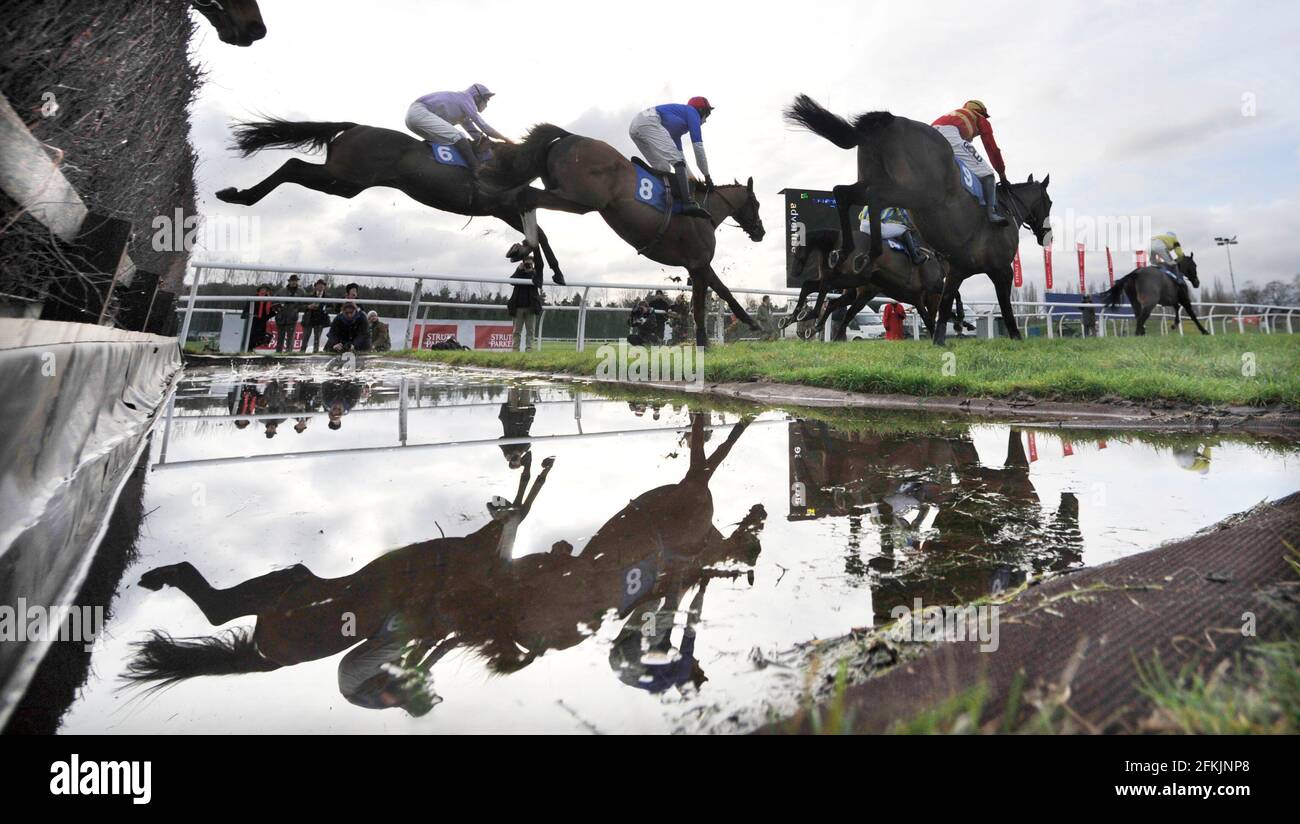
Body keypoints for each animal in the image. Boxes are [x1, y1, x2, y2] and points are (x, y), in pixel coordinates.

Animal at [215, 115, 566, 282]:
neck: (511, 163)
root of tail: (355, 127)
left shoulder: (504, 209)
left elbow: (539, 234)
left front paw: (544, 272)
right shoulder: (501, 205)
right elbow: (539, 234)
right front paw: (540, 269)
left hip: (344, 183)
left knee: (295, 167)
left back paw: (236, 194)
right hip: (344, 178)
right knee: (292, 165)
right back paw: (240, 196)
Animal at [483, 123, 764, 345]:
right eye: (757, 204)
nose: (760, 231)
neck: (705, 211)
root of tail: (568, 136)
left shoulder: (696, 266)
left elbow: (717, 295)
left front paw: (747, 326)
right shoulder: (699, 263)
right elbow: (709, 300)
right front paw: (709, 340)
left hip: (572, 197)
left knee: (521, 197)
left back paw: (534, 257)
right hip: (581, 198)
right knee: (526, 196)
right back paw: (533, 253)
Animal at [780, 96, 1055, 343]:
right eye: (1049, 203)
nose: (1047, 235)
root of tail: (890, 120)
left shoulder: (955, 271)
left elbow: (945, 308)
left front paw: (944, 336)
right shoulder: (1001, 269)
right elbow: (1003, 306)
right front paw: (1015, 336)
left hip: (872, 185)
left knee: (842, 193)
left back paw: (843, 256)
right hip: (914, 193)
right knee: (873, 198)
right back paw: (865, 257)